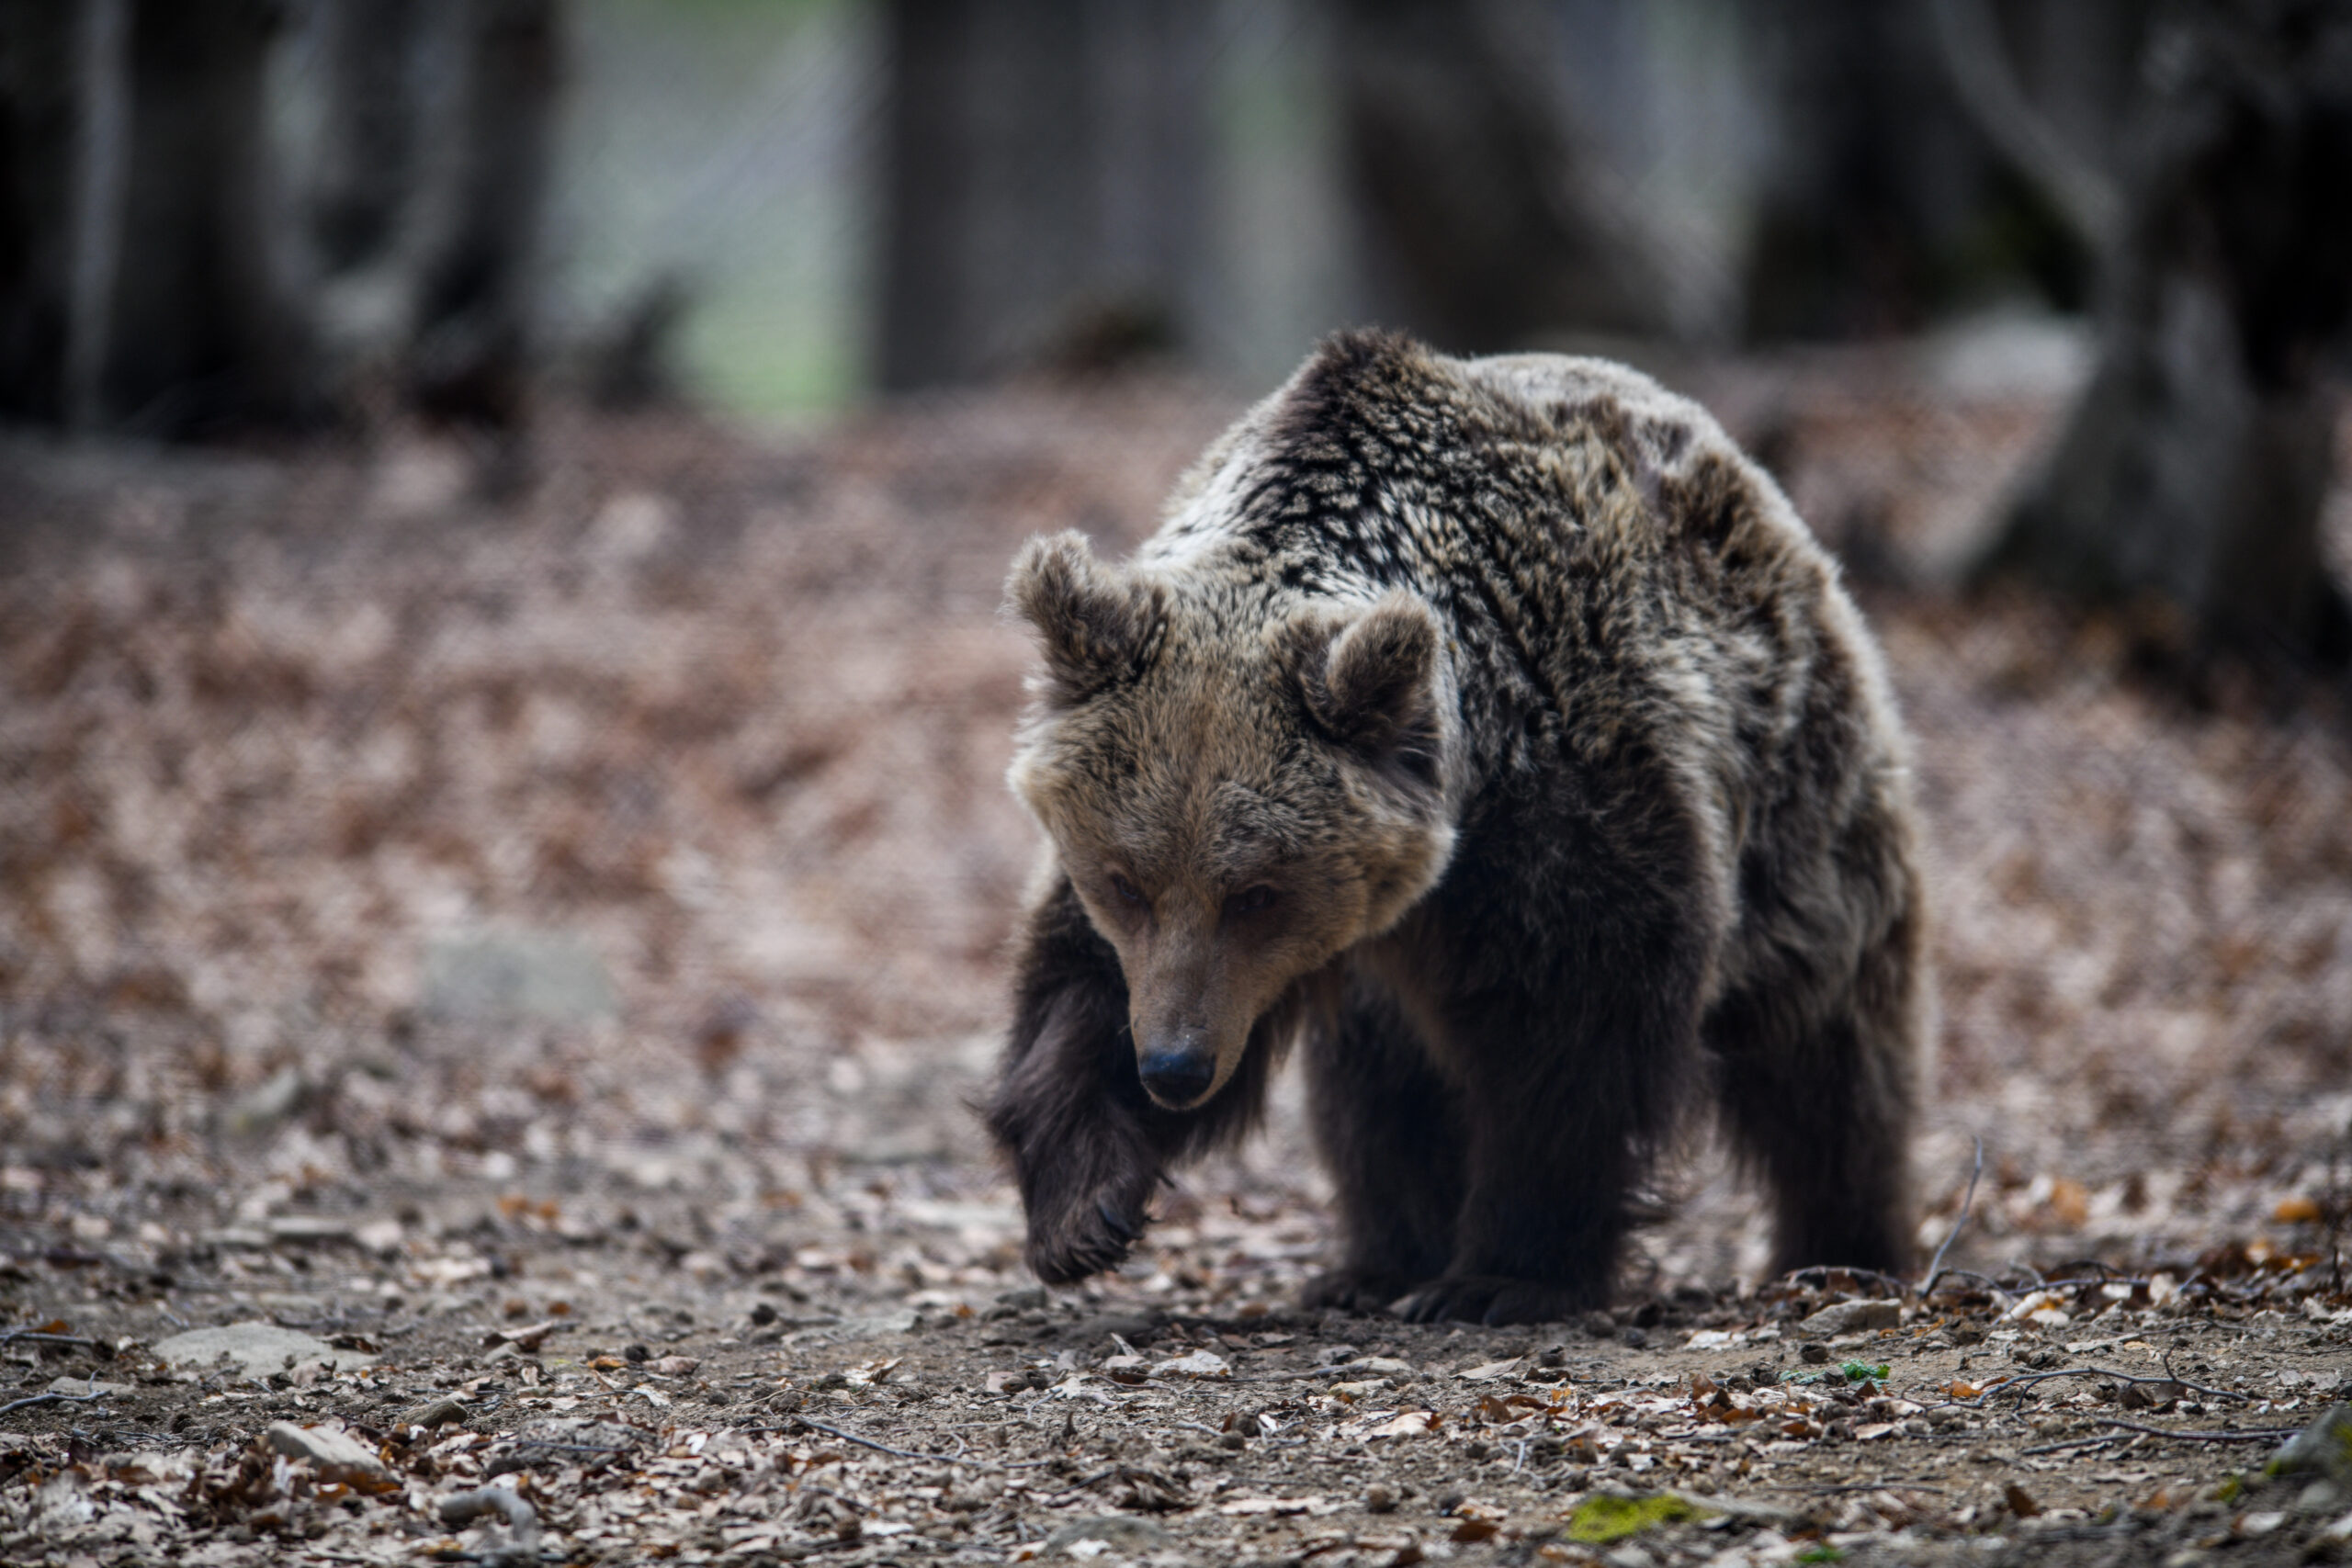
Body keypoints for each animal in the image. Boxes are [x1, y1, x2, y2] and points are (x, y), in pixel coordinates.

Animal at [983, 331, 1918, 1325]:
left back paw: (1843, 1243)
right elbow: (1081, 982)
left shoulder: (1573, 796)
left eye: (1257, 893)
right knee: (1381, 1093)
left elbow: (1572, 1038)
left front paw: (1504, 1273)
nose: (1174, 1067)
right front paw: (1084, 1204)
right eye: (1125, 880)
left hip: (1801, 807)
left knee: (1829, 1059)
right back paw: (1376, 1262)